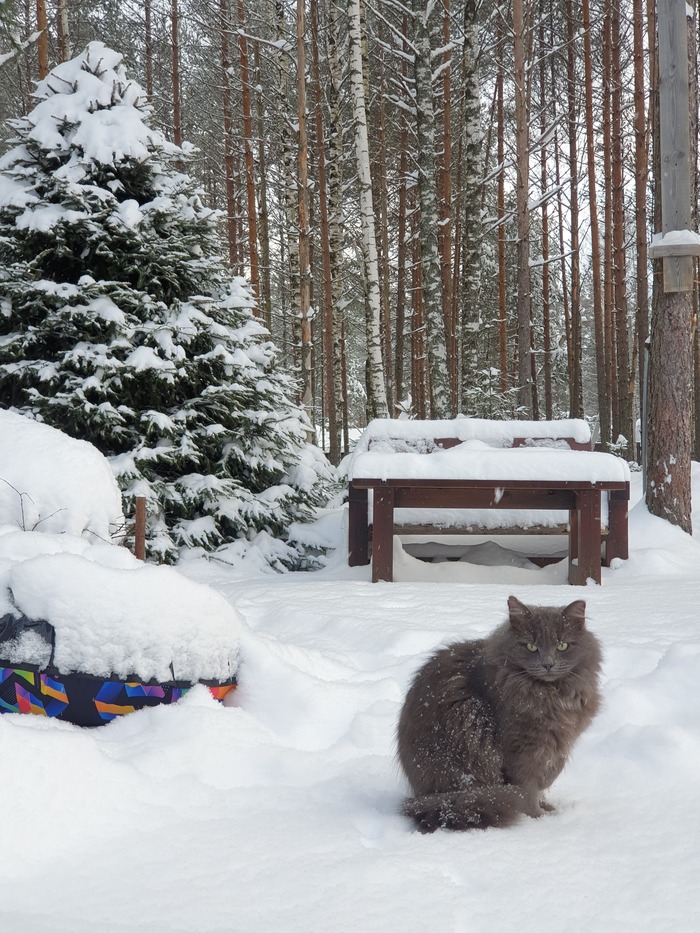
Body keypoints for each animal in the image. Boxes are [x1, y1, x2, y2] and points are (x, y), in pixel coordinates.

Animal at [396, 595, 602, 832]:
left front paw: (546, 805)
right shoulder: (521, 747)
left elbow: (552, 772)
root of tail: (423, 797)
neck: (550, 694)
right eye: (531, 647)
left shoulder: (559, 742)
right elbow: (528, 788)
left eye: (562, 646)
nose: (548, 664)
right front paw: (536, 818)